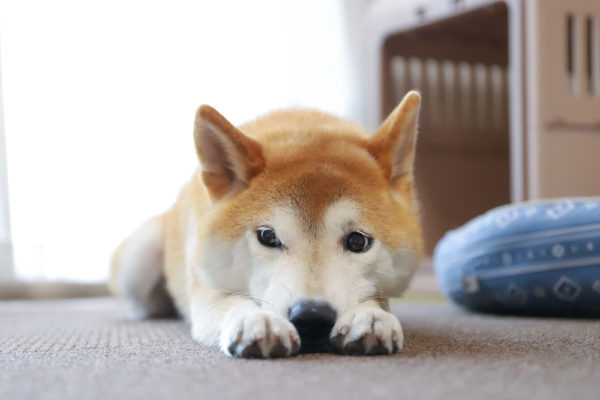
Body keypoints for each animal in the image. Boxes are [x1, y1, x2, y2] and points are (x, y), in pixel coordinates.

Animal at [110, 91, 424, 360]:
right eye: (267, 237)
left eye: (358, 241)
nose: (312, 318)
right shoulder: (206, 284)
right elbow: (229, 302)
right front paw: (256, 319)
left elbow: (376, 296)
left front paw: (369, 316)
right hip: (139, 258)